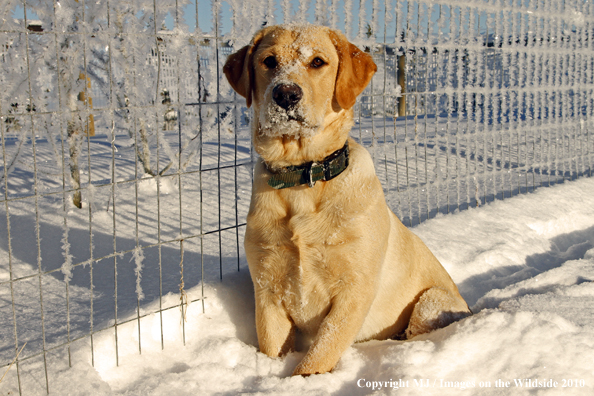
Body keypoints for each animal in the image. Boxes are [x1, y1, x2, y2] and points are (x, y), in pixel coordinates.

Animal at [221, 23, 468, 376]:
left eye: (317, 62)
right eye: (268, 61)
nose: (286, 94)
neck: (303, 180)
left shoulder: (354, 290)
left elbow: (319, 355)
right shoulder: (267, 289)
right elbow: (273, 348)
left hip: (432, 301)